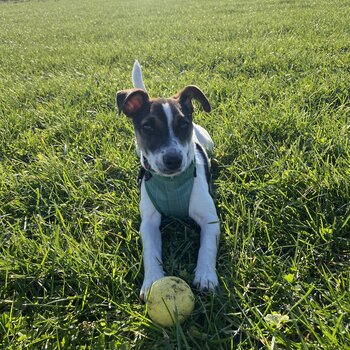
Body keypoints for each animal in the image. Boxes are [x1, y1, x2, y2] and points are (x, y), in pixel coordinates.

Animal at [119, 61, 220, 300]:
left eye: (184, 124)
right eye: (147, 127)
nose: (173, 160)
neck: (171, 182)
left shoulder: (210, 219)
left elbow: (207, 248)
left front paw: (205, 275)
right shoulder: (149, 222)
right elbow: (151, 252)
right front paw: (152, 281)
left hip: (209, 142)